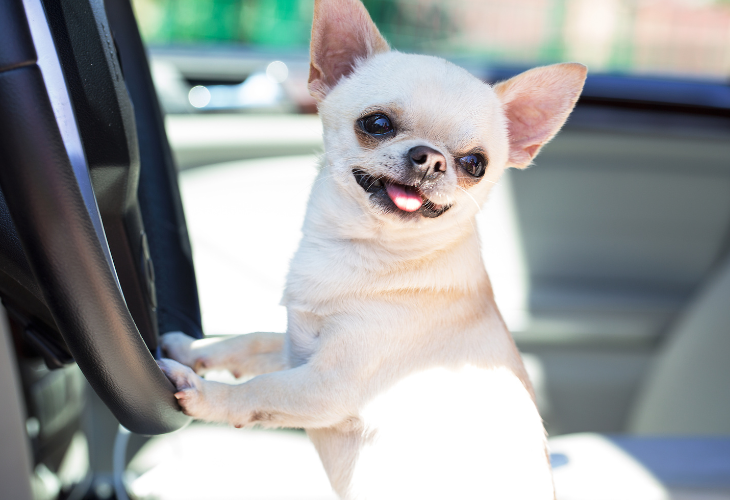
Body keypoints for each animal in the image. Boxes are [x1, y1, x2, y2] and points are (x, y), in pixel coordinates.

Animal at [156, 1, 584, 498]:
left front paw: (205, 394)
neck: (365, 249)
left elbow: (257, 391)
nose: (431, 158)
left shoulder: (323, 385)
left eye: (475, 164)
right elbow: (247, 341)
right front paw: (191, 347)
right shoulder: (295, 348)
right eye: (377, 124)